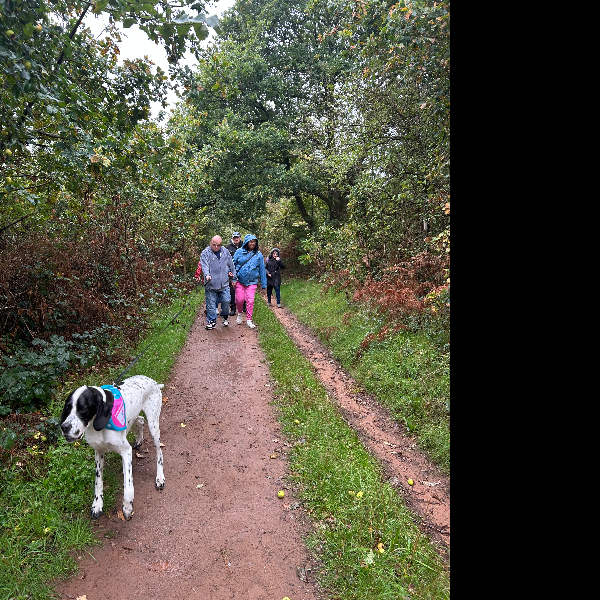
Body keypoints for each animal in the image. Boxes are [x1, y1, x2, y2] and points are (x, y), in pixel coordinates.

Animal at [59, 375, 165, 520]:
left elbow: (128, 488)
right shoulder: (98, 452)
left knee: (159, 453)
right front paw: (97, 504)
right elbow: (98, 482)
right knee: (140, 420)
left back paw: (160, 477)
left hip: (153, 425)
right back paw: (138, 440)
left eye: (84, 408)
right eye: (68, 407)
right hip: (135, 419)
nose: (64, 427)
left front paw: (127, 507)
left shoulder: (126, 451)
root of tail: (152, 381)